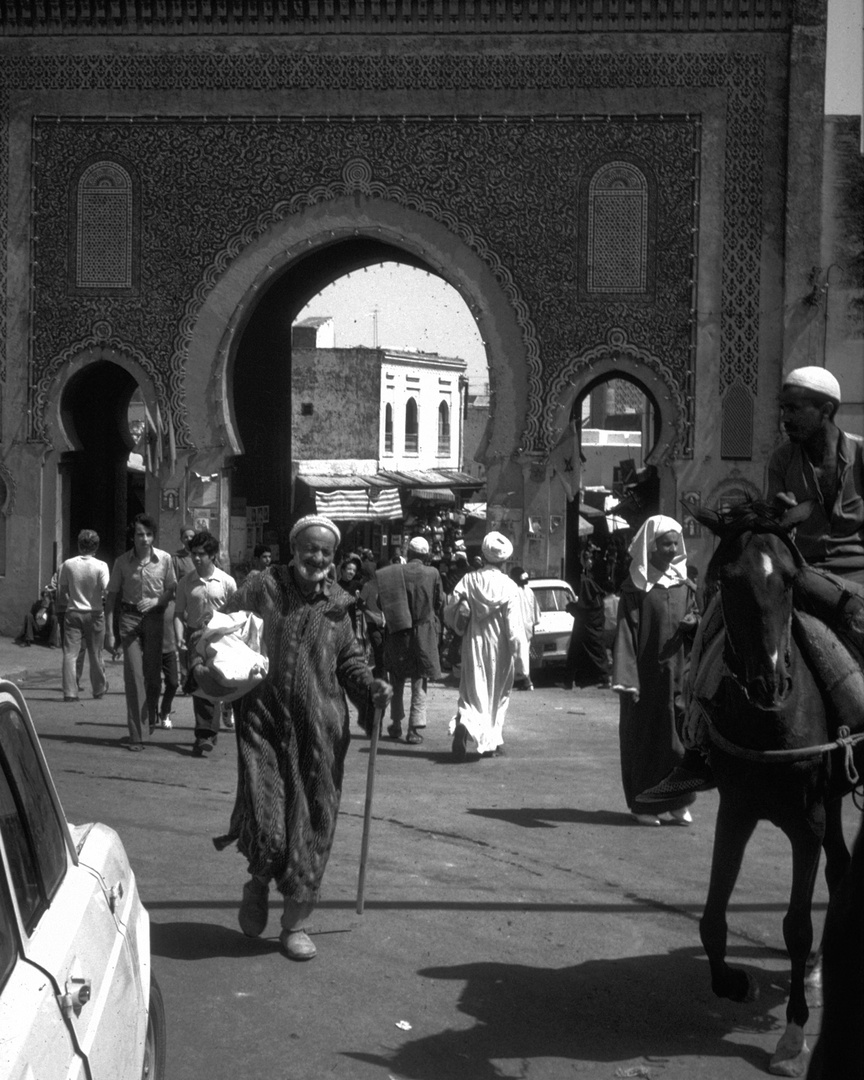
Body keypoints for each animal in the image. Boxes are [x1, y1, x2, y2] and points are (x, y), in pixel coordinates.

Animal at [686, 501, 864, 1075]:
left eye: (789, 579)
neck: (770, 720)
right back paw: (817, 971)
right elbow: (711, 919)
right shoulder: (737, 812)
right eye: (726, 578)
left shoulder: (806, 824)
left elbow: (796, 926)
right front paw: (732, 983)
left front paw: (793, 1035)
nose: (770, 683)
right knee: (842, 866)